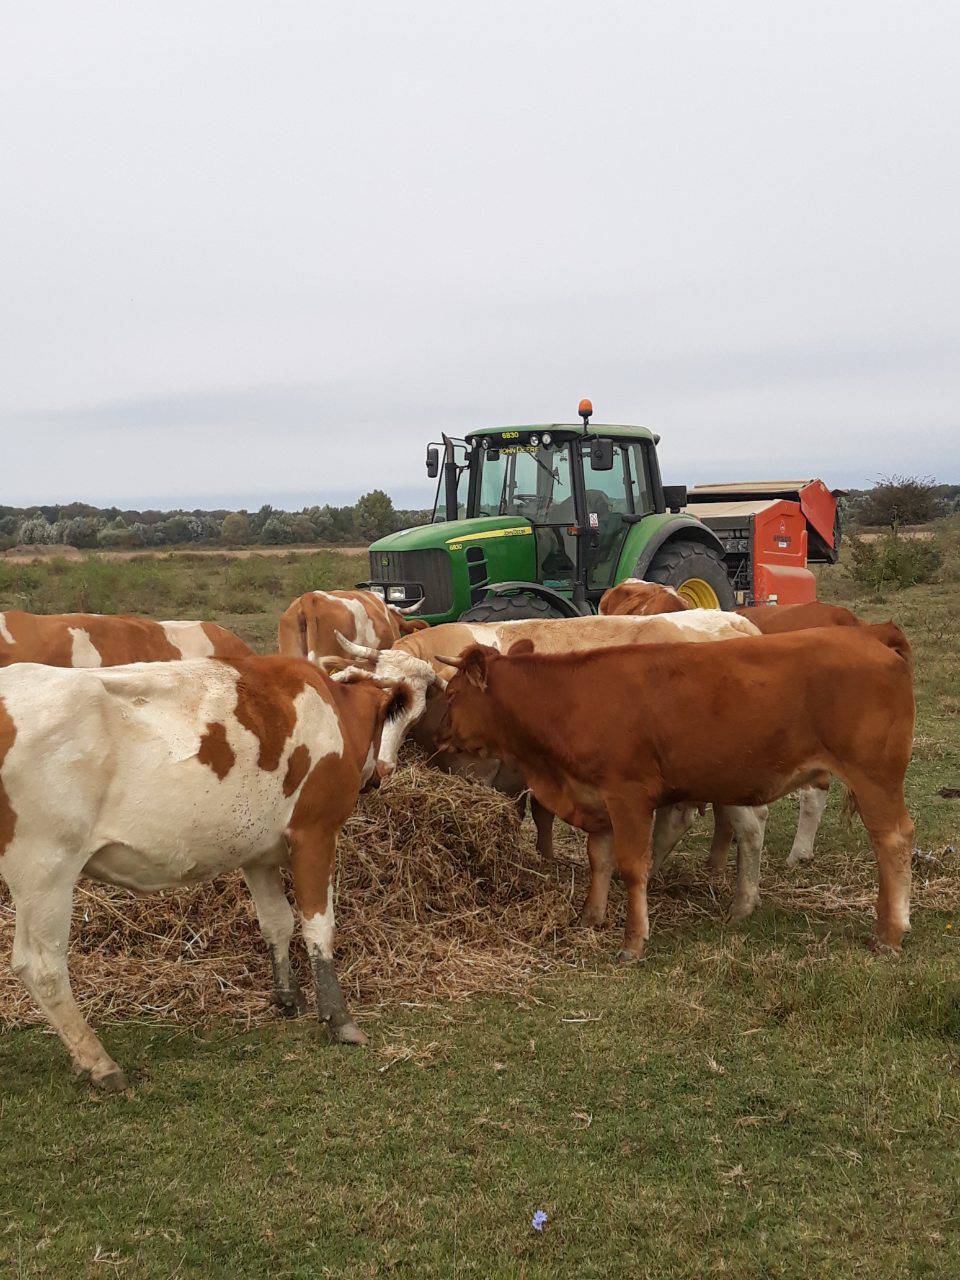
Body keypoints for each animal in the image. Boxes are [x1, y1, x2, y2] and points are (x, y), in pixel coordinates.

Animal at [0, 650, 440, 1090]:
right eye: (407, 716)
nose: (384, 771)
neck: (335, 706)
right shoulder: (315, 833)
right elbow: (318, 927)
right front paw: (339, 1019)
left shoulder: (258, 854)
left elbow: (277, 923)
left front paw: (288, 997)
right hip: (46, 867)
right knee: (40, 967)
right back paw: (99, 1061)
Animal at [440, 624, 921, 962]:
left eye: (452, 693)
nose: (442, 737)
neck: (568, 702)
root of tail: (871, 636)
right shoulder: (596, 799)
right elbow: (600, 860)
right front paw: (590, 917)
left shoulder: (628, 796)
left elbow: (633, 867)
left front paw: (633, 941)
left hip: (874, 776)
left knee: (893, 842)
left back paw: (889, 932)